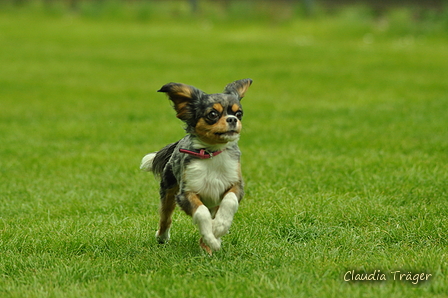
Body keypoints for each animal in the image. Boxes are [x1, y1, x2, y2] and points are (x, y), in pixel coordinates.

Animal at [141, 78, 252, 254]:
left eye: (238, 113)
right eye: (212, 114)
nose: (233, 119)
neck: (211, 153)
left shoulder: (235, 184)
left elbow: (229, 201)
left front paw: (219, 229)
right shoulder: (186, 193)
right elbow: (201, 213)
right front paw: (212, 238)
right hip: (168, 191)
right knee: (165, 217)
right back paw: (162, 237)